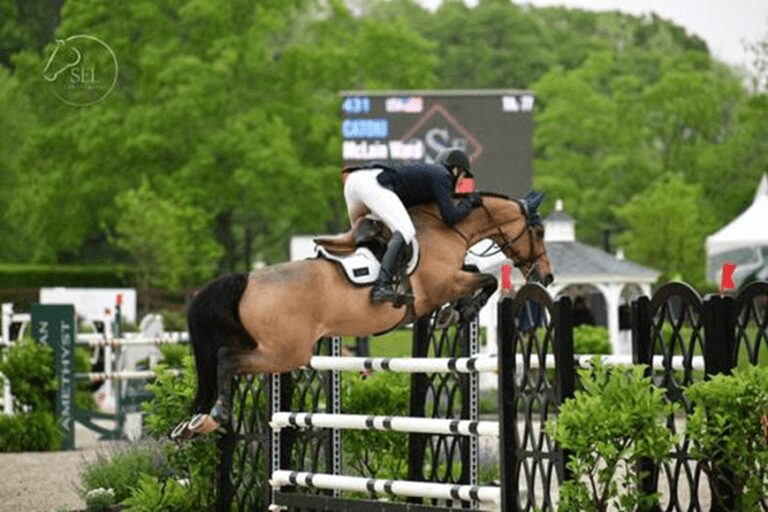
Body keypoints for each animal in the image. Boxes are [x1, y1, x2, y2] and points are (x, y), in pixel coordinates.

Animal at [172, 191, 554, 438]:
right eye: (539, 231)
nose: (546, 277)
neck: (446, 228)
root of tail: (247, 278)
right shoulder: (443, 283)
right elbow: (488, 279)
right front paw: (463, 309)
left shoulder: (452, 279)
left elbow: (478, 273)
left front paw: (454, 312)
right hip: (284, 352)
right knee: (226, 359)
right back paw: (215, 416)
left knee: (222, 361)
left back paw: (197, 423)